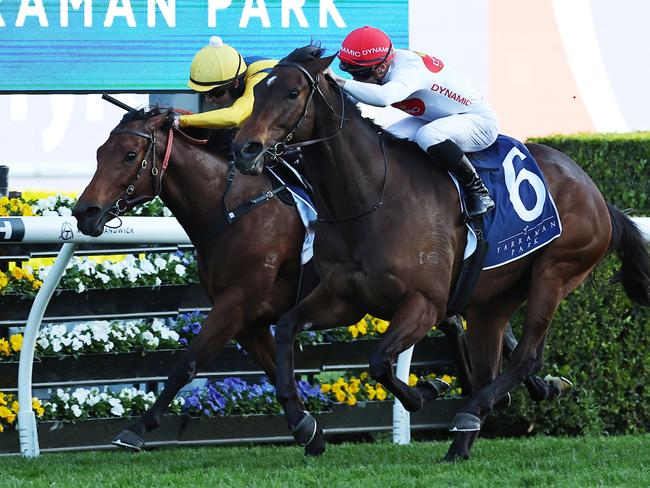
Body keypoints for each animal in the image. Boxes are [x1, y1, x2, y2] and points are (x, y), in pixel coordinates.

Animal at [72, 106, 310, 450]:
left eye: (130, 155)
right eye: (99, 153)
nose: (84, 212)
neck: (234, 211)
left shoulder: (237, 302)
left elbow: (186, 364)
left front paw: (137, 428)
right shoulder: (249, 317)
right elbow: (278, 373)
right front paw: (307, 429)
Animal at [230, 45, 644, 462]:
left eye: (292, 93)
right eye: (256, 92)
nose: (243, 149)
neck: (369, 200)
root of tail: (595, 193)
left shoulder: (425, 302)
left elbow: (379, 361)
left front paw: (429, 389)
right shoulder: (344, 299)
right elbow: (286, 329)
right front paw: (304, 425)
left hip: (554, 273)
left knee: (526, 357)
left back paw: (472, 413)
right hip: (493, 300)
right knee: (495, 364)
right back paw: (465, 438)